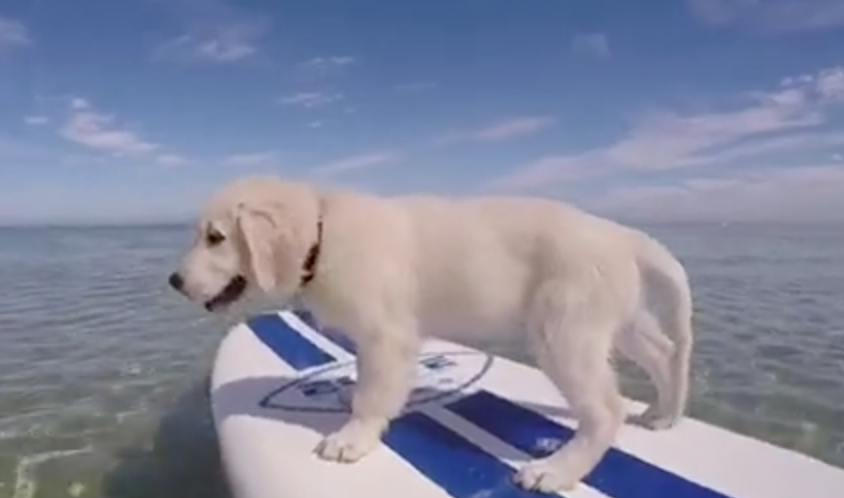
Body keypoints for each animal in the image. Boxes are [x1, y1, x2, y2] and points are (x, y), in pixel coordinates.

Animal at [170, 176, 692, 494]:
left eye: (215, 237)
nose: (174, 281)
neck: (323, 233)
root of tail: (623, 235)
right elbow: (367, 383)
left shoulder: (386, 334)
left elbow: (373, 394)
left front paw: (352, 440)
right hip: (617, 319)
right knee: (664, 352)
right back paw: (664, 415)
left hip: (565, 328)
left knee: (605, 410)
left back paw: (555, 471)